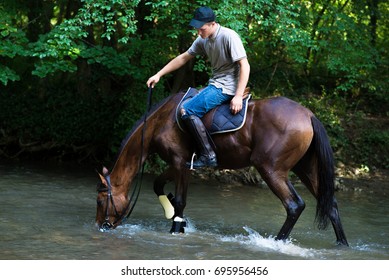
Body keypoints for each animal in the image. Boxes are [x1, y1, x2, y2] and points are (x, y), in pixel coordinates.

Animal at [94, 91, 348, 246]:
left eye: (99, 200)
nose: (100, 226)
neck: (160, 122)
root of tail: (309, 114)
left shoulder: (179, 163)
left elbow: (181, 201)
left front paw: (176, 226)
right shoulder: (179, 165)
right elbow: (159, 185)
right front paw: (172, 211)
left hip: (271, 169)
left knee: (295, 205)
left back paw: (276, 242)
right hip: (306, 170)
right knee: (331, 204)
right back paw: (342, 244)